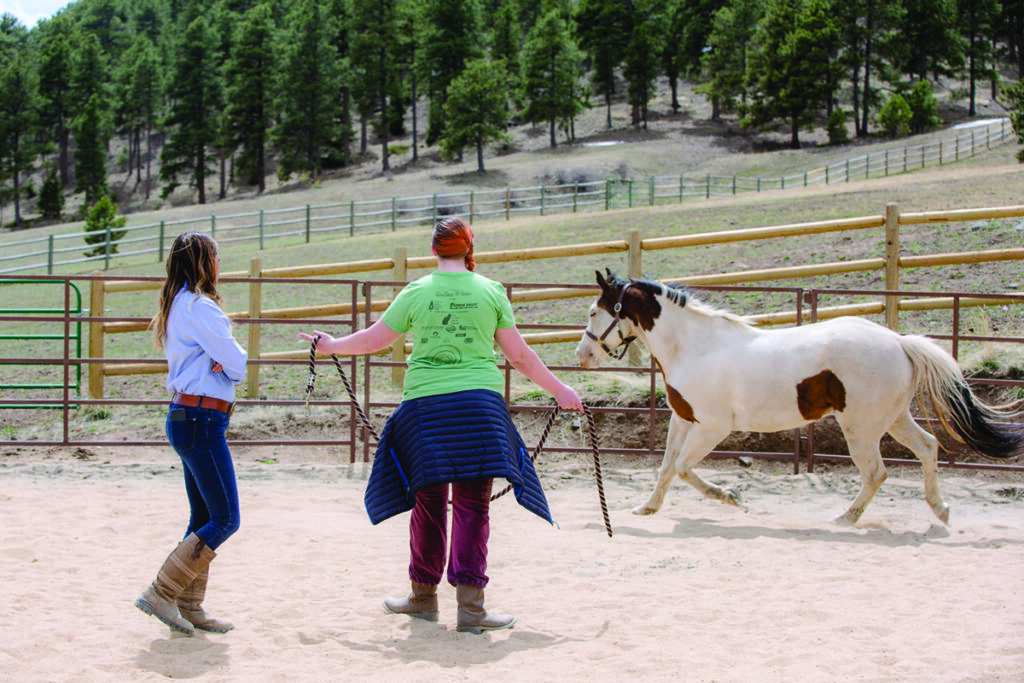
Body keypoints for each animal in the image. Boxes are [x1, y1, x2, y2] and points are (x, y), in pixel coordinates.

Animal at [577, 270, 1024, 528]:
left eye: (595, 311)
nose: (582, 356)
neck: (694, 345)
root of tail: (900, 342)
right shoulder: (683, 419)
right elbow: (668, 467)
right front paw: (647, 509)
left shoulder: (713, 427)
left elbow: (686, 469)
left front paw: (731, 497)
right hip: (893, 419)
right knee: (929, 447)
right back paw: (940, 510)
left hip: (860, 427)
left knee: (876, 472)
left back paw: (845, 517)